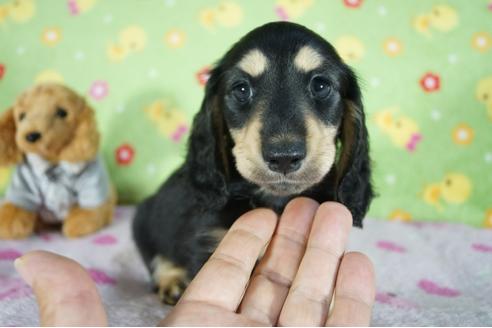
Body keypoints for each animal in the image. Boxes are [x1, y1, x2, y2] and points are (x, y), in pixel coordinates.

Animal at [132, 22, 372, 304]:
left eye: (321, 85)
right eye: (241, 89)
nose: (284, 157)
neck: (277, 201)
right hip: (144, 219)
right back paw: (172, 280)